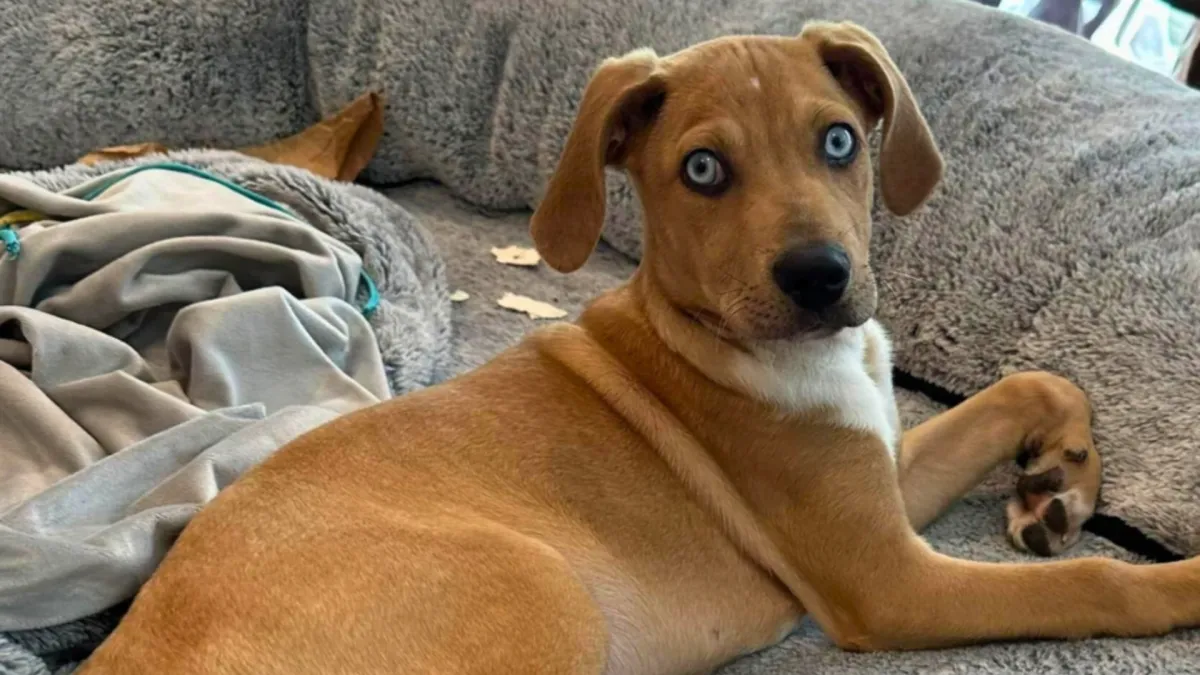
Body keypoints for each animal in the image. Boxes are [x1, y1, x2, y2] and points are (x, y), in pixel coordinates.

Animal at [79, 22, 1199, 675]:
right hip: (544, 594)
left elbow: (1026, 382)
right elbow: (1093, 584)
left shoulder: (879, 477)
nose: (820, 278)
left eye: (840, 140)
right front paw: (1179, 580)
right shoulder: (888, 579)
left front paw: (1062, 477)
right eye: (702, 169)